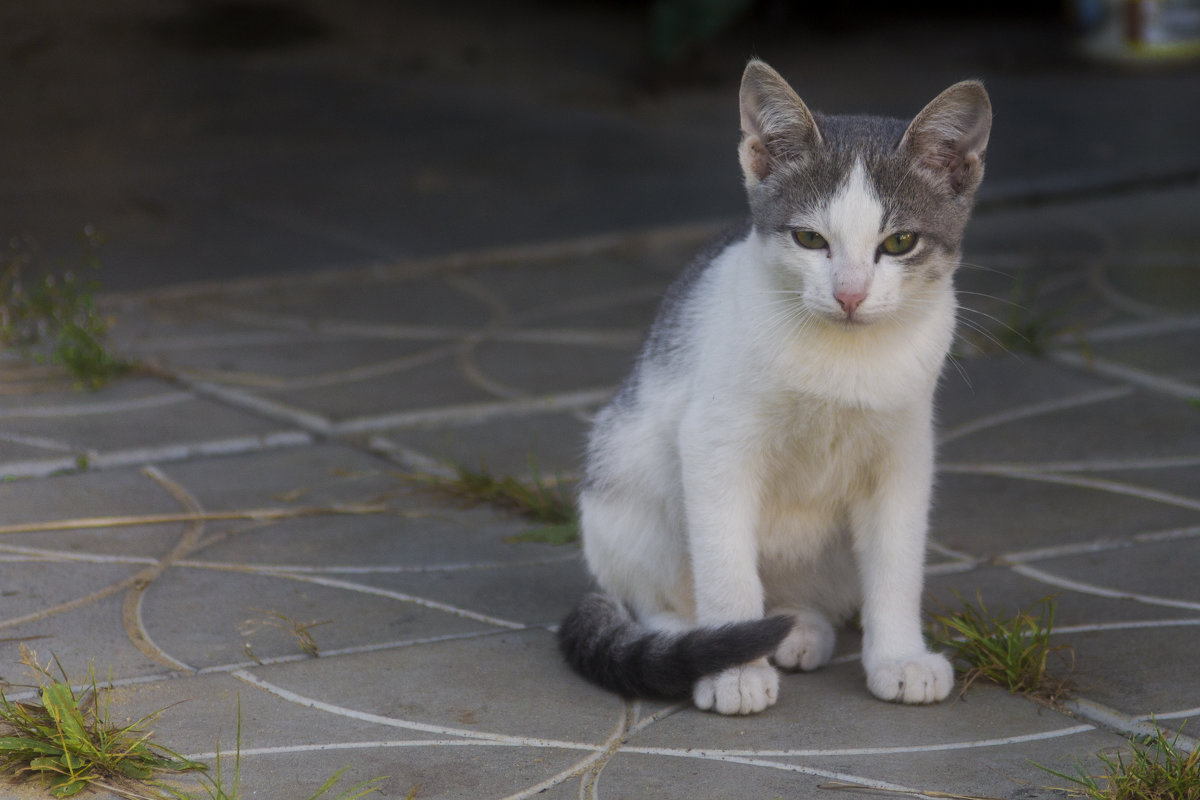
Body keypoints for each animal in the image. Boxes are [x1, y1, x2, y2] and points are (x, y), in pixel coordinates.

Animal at [556, 59, 988, 714]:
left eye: (899, 242)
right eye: (810, 239)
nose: (850, 293)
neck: (843, 360)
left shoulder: (905, 451)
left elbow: (897, 560)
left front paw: (899, 657)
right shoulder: (712, 443)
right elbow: (726, 564)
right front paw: (733, 670)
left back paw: (799, 625)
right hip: (623, 478)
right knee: (653, 597)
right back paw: (694, 637)